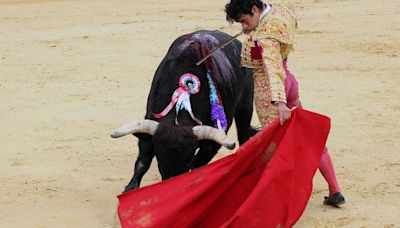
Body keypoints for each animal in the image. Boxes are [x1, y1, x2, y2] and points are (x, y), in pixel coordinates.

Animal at [111, 29, 256, 191]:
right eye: (160, 161)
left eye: (186, 160)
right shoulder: (150, 124)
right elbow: (143, 160)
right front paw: (130, 188)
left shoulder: (215, 137)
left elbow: (198, 164)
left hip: (246, 106)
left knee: (244, 135)